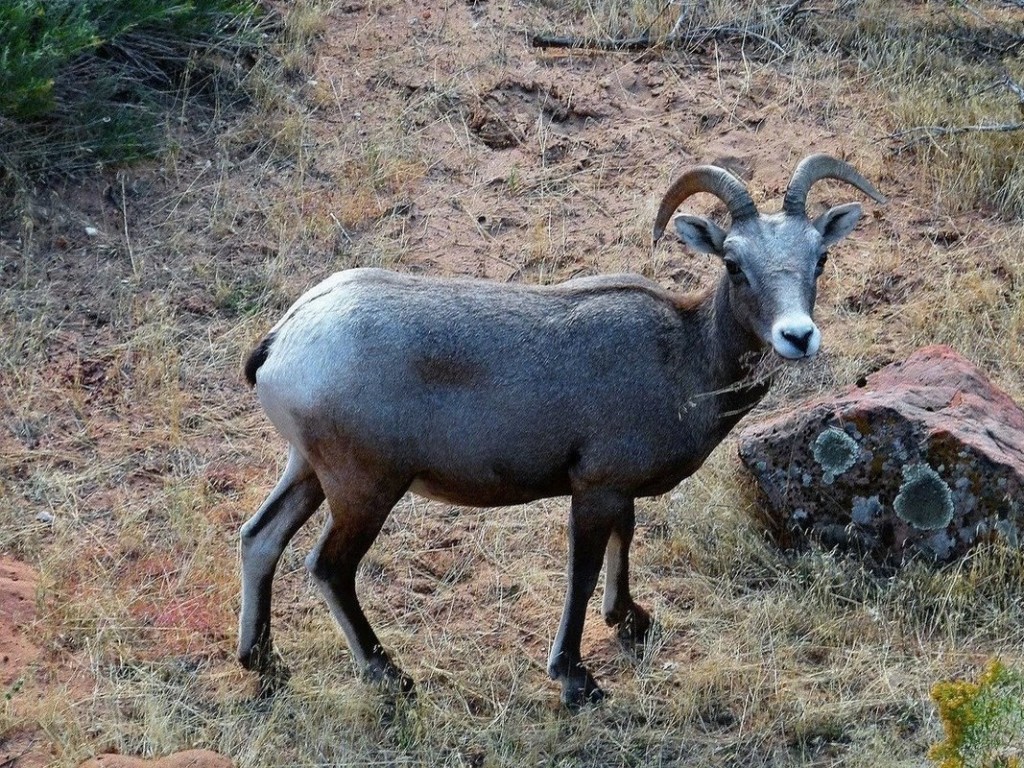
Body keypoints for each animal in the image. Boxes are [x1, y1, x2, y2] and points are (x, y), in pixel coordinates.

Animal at [235, 154, 884, 708]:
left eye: (819, 259)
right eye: (733, 262)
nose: (797, 336)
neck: (685, 355)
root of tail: (282, 340)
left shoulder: (616, 492)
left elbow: (624, 542)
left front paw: (631, 621)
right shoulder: (593, 492)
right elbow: (584, 573)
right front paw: (576, 680)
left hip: (308, 473)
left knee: (259, 539)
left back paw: (262, 663)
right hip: (364, 489)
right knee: (329, 568)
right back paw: (389, 675)